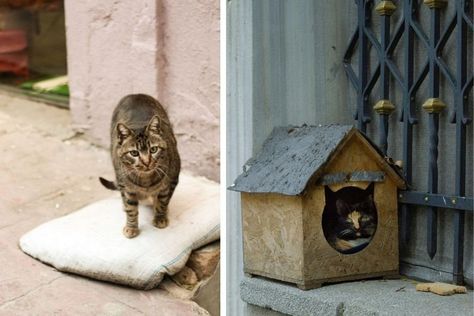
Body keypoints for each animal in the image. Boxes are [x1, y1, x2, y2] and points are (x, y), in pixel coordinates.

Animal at [99, 94, 181, 237]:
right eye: (134, 153)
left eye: (153, 149)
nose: (146, 162)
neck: (146, 180)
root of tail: (135, 94)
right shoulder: (127, 189)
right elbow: (131, 209)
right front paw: (131, 227)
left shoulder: (170, 181)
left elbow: (162, 202)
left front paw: (160, 217)